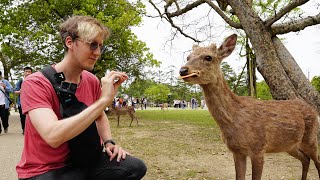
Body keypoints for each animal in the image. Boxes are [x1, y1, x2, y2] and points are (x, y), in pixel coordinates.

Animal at [179, 33, 318, 179]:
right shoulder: (237, 151)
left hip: (311, 139)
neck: (234, 118)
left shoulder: (258, 148)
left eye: (208, 57)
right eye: (188, 57)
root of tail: (314, 111)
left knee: (316, 161)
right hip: (290, 146)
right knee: (305, 159)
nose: (183, 70)